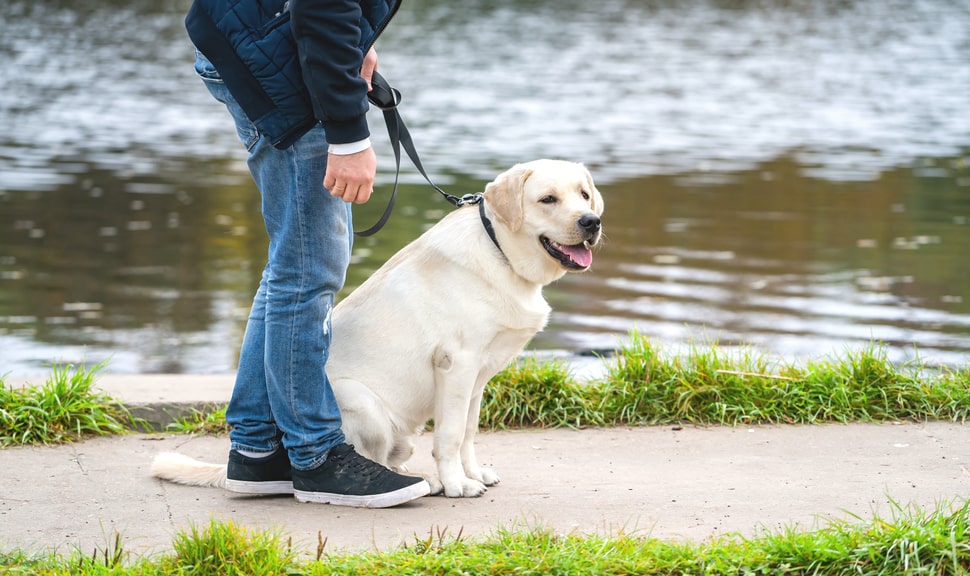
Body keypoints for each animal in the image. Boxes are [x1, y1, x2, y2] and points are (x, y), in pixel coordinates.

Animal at [152, 160, 600, 498]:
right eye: (547, 199)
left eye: (583, 194)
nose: (591, 221)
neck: (501, 252)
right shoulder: (456, 365)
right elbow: (451, 434)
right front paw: (458, 484)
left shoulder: (478, 376)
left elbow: (469, 431)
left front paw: (472, 473)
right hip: (361, 403)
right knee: (373, 459)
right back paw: (424, 483)